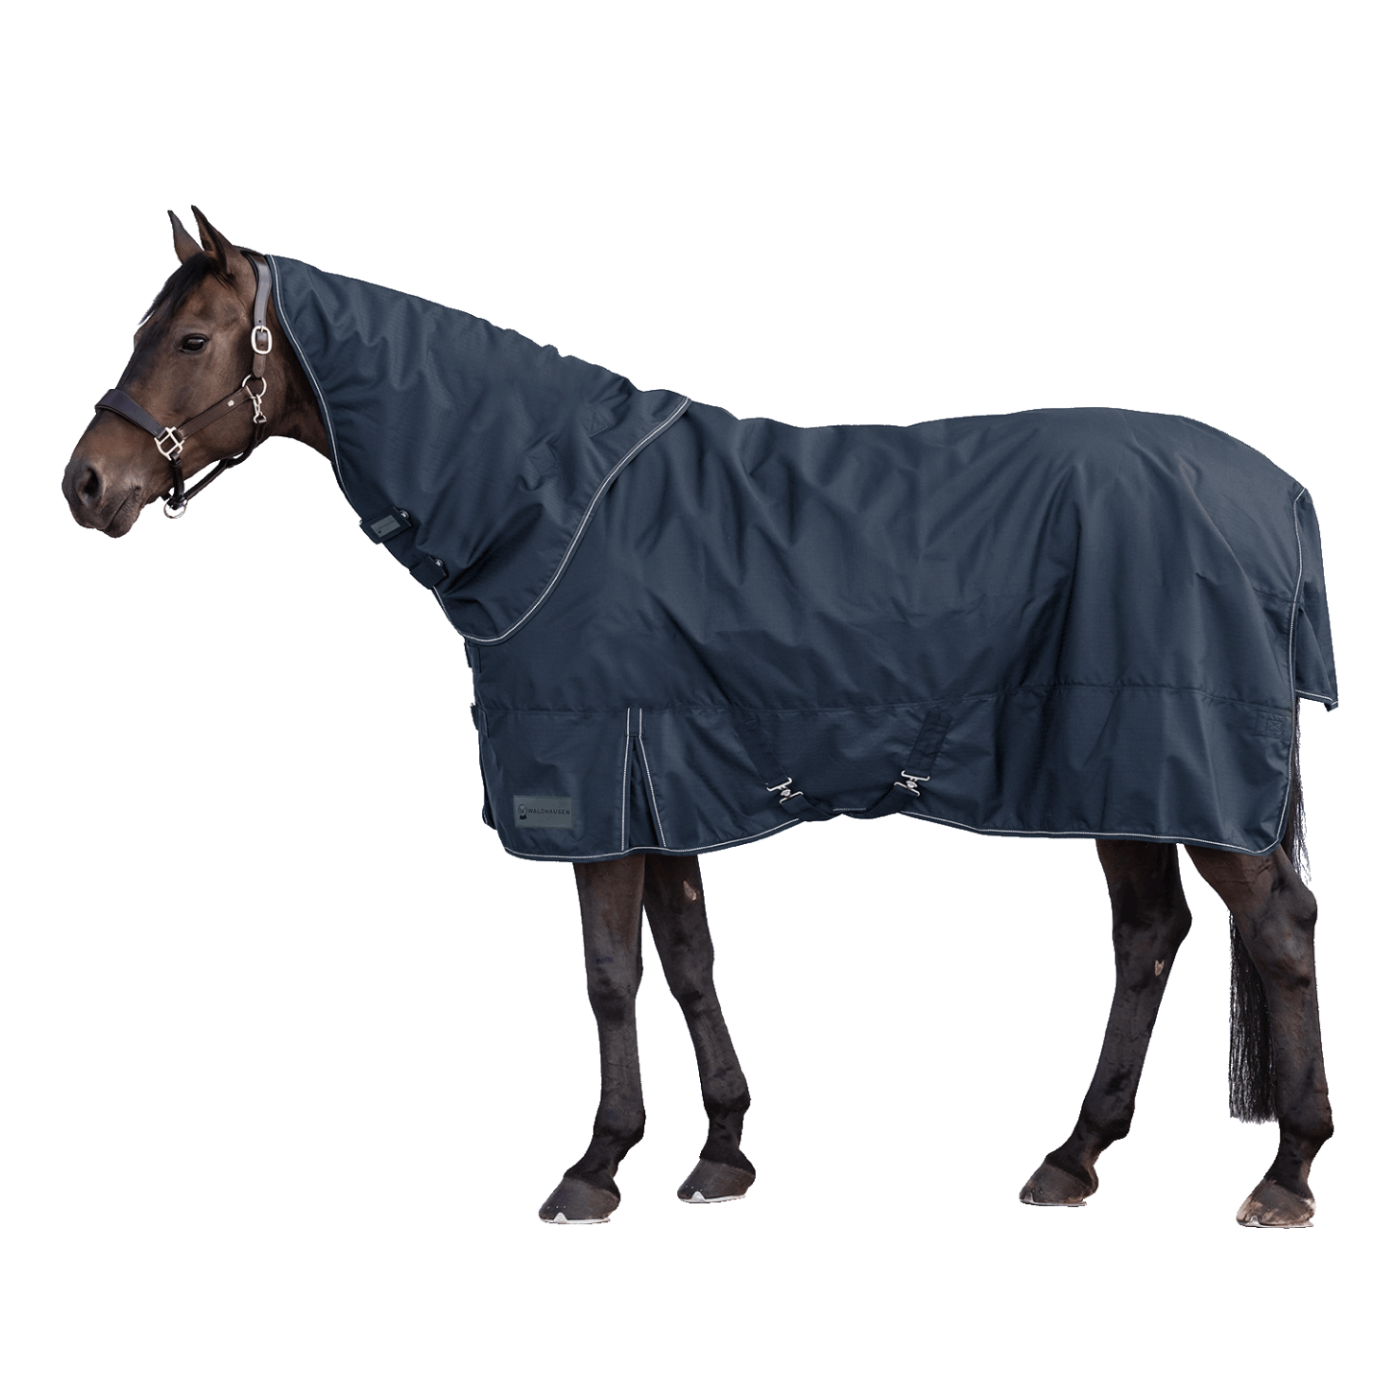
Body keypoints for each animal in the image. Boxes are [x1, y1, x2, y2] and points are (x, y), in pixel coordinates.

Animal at [61, 207, 1335, 1227]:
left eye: (188, 339)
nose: (87, 483)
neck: (547, 501)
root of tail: (1274, 494)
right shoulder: (660, 779)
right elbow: (682, 963)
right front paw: (720, 1153)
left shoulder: (594, 787)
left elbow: (607, 977)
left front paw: (590, 1170)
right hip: (1123, 769)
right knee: (1149, 936)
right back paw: (1070, 1159)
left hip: (1179, 768)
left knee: (1272, 932)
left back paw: (1282, 1176)